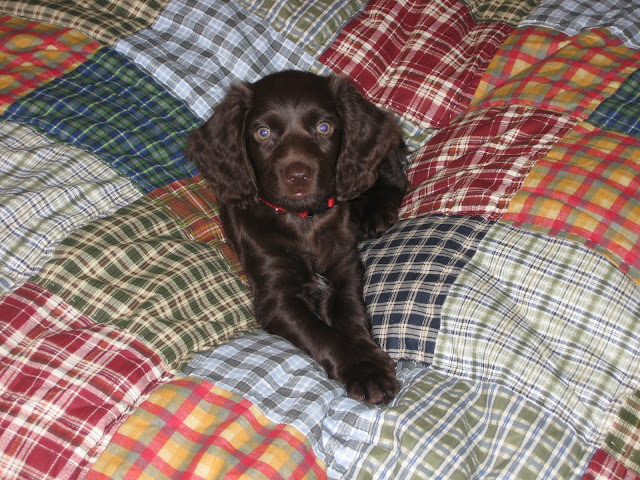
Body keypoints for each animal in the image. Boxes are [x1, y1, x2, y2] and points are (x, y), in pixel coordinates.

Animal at [185, 69, 408, 404]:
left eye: (324, 127)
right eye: (262, 133)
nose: (299, 177)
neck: (303, 220)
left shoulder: (345, 270)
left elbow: (352, 317)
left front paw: (368, 364)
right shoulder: (276, 297)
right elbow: (323, 334)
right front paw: (364, 370)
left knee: (393, 174)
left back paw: (375, 211)